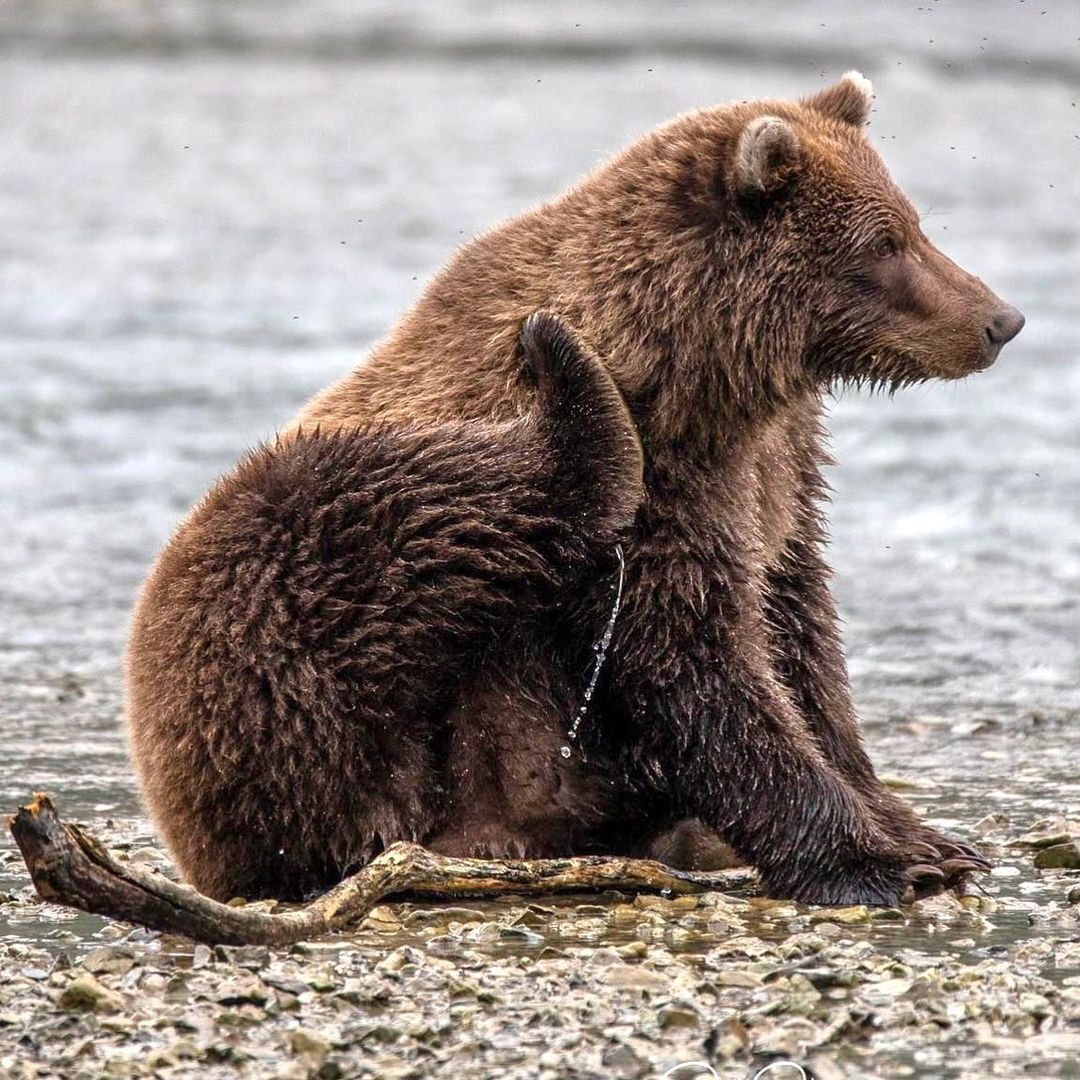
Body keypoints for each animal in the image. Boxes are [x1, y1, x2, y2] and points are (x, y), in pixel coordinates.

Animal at [126, 71, 1019, 907]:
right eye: (885, 242)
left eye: (914, 224)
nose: (999, 320)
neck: (705, 371)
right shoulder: (670, 486)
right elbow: (693, 657)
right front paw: (870, 860)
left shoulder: (781, 467)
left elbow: (797, 631)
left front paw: (924, 835)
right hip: (272, 638)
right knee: (386, 509)